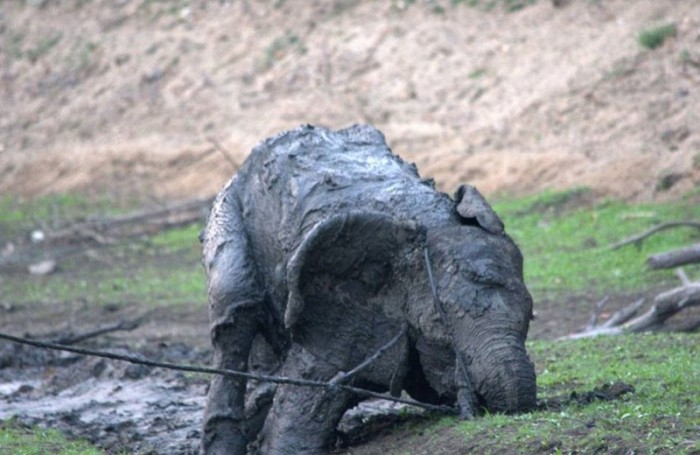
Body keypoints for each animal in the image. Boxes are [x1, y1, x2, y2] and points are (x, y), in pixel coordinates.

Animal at [200, 124, 540, 455]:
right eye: (440, 325)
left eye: (529, 318)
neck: (431, 223)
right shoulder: (339, 309)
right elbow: (299, 413)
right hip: (228, 214)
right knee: (235, 314)